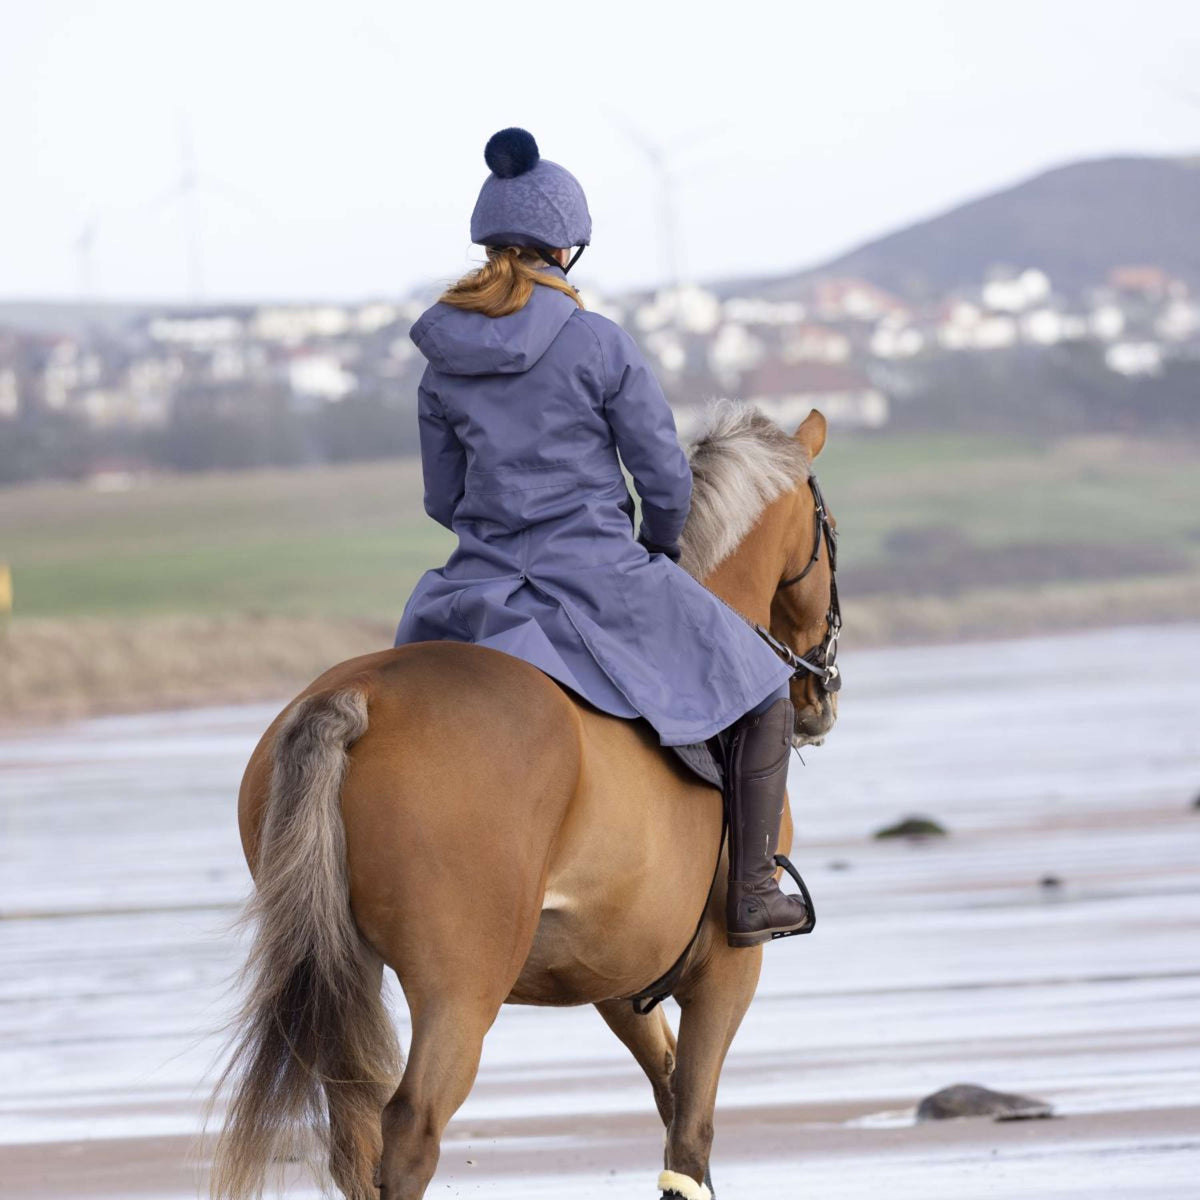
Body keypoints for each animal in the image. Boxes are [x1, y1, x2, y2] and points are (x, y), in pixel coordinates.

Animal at [211, 405, 840, 1200]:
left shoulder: (617, 975)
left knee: (353, 1137)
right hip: (461, 988)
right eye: (830, 530)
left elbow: (670, 1095)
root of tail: (358, 697)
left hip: (348, 972)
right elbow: (690, 1139)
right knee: (410, 1129)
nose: (819, 695)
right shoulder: (728, 971)